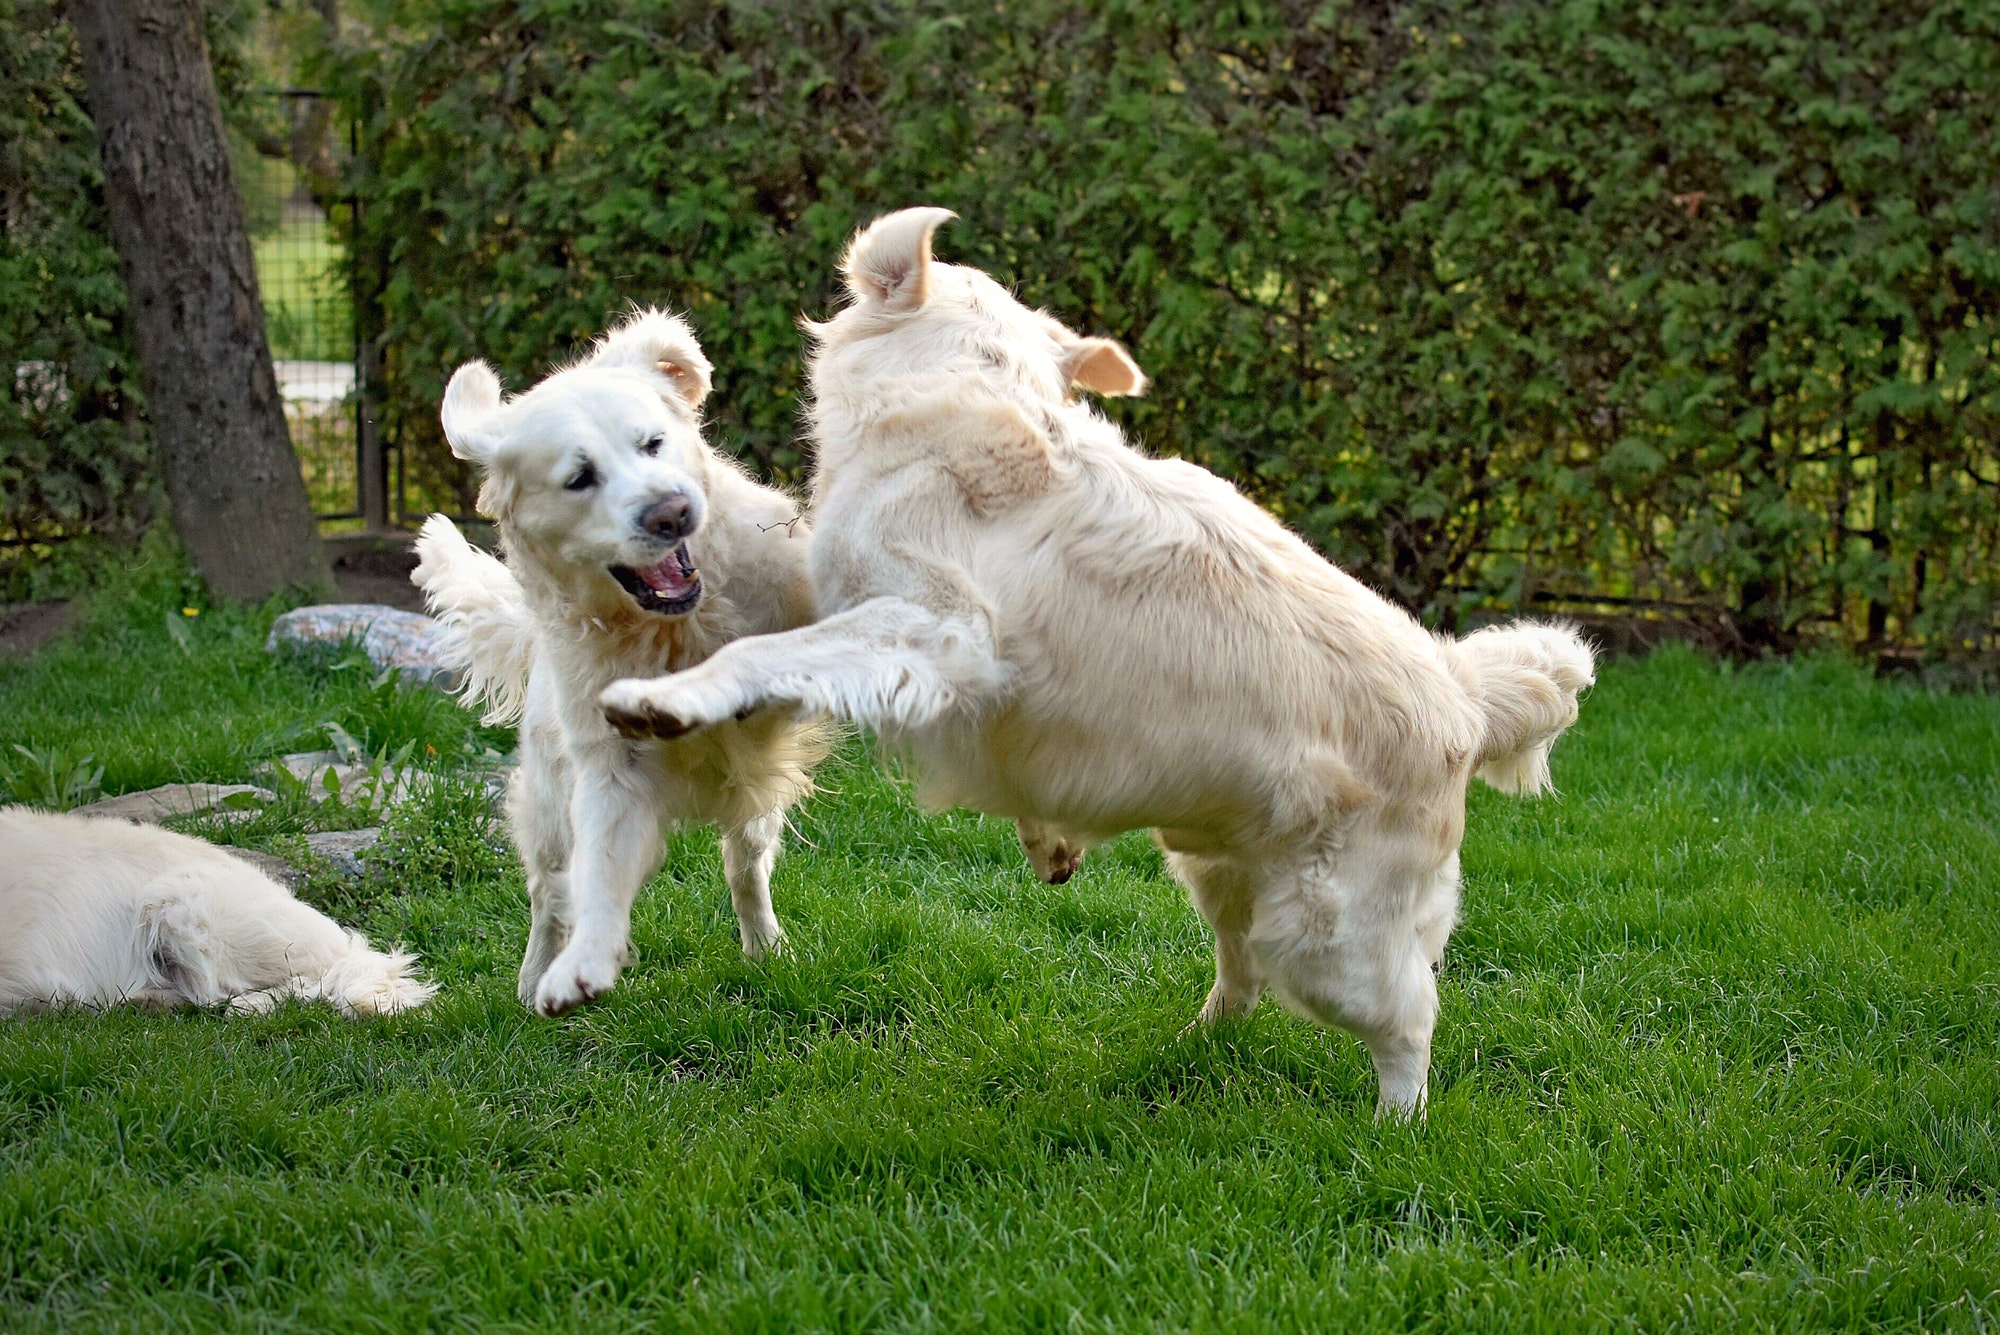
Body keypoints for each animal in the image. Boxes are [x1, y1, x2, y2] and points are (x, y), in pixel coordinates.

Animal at [414, 307, 828, 1011]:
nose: (673, 512)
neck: (676, 628)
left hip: (754, 801)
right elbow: (601, 876)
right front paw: (582, 963)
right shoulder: (612, 770)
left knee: (744, 867)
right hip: (550, 802)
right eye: (580, 478)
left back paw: (766, 948)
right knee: (551, 893)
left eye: (652, 444)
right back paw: (534, 974)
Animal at [600, 213, 1600, 1119]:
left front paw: (660, 696)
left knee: (1407, 1018)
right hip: (1219, 865)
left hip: (1329, 937)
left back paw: (1395, 1128)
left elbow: (765, 650)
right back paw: (1192, 1044)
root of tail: (1463, 697)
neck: (961, 386)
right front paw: (1047, 839)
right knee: (1241, 975)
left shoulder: (937, 631)